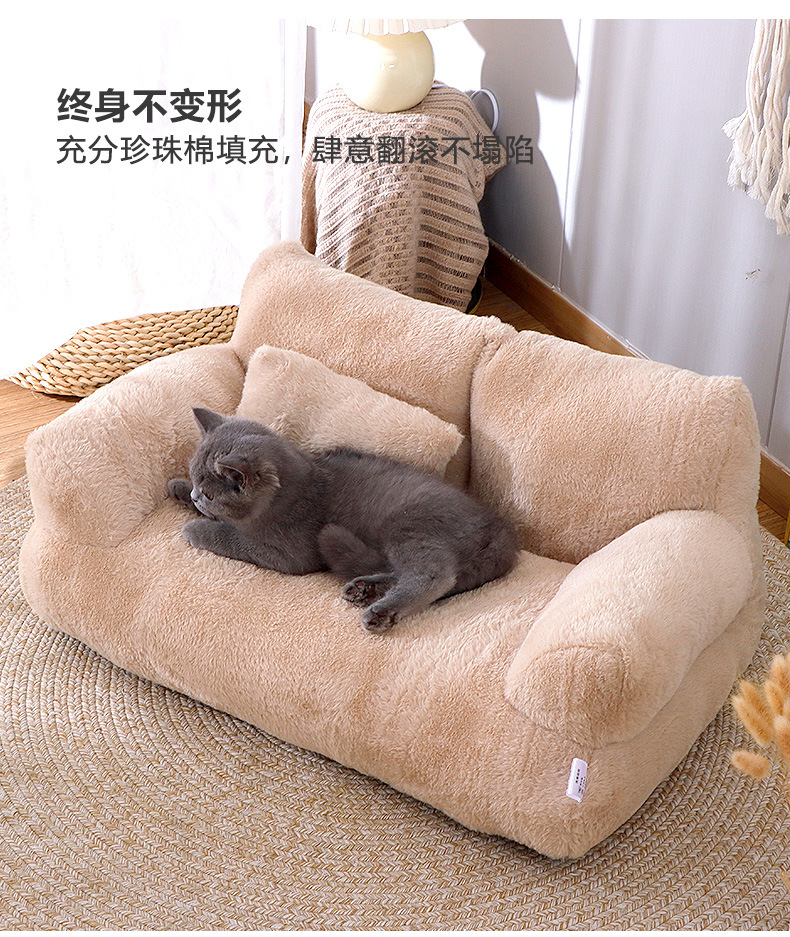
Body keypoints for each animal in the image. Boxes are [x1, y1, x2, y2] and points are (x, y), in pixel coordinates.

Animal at [169, 407, 519, 634]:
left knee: (436, 576)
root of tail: (500, 528)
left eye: (210, 494)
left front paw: (197, 528)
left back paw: (380, 611)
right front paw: (177, 489)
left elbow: (232, 537)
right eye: (195, 480)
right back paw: (365, 589)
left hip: (410, 525)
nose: (197, 497)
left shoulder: (288, 552)